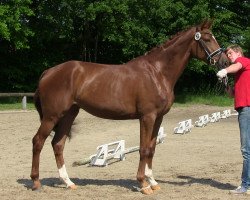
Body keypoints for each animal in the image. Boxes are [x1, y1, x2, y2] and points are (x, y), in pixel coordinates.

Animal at [30, 20, 229, 194]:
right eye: (207, 39)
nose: (225, 62)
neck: (157, 73)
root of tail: (48, 72)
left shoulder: (158, 118)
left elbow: (152, 148)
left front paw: (153, 182)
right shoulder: (147, 117)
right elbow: (144, 149)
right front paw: (143, 184)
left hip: (69, 114)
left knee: (58, 144)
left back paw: (68, 182)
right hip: (52, 116)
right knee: (38, 141)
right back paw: (36, 182)